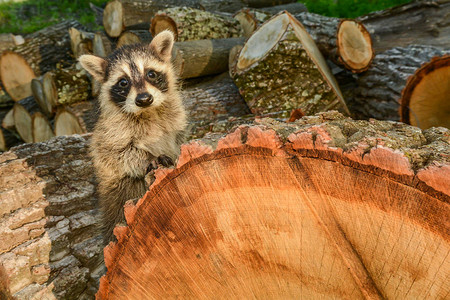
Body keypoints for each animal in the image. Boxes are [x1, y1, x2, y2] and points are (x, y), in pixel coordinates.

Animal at [79, 30, 186, 244]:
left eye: (151, 74)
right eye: (123, 82)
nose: (144, 99)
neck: (148, 111)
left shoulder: (175, 117)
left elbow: (179, 138)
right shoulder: (110, 131)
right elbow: (116, 153)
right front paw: (148, 157)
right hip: (119, 191)